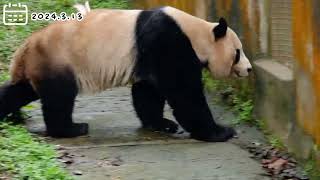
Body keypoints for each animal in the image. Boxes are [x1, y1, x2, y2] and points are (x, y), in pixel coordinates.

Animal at [0, 4, 251, 142]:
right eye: (237, 52)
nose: (248, 69)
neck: (196, 32)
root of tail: (25, 49)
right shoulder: (169, 41)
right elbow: (183, 92)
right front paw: (220, 132)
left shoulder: (149, 55)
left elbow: (147, 91)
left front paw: (161, 123)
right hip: (58, 59)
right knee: (59, 97)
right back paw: (72, 129)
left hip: (40, 66)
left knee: (20, 91)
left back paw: (11, 117)